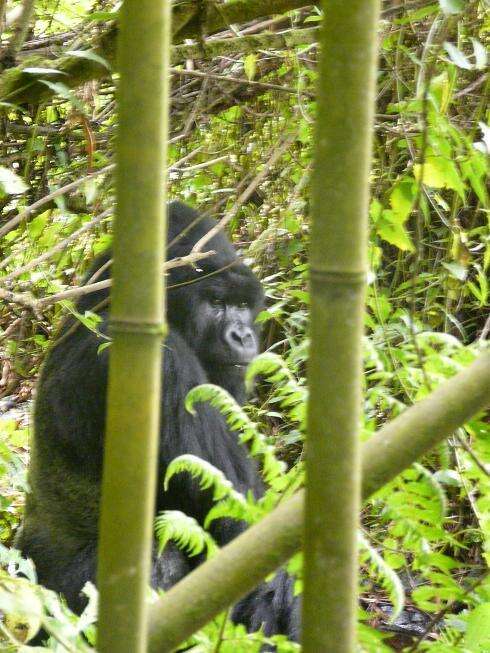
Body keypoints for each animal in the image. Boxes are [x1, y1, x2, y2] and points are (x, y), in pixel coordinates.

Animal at [18, 201, 298, 640]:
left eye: (241, 305)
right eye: (215, 302)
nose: (243, 336)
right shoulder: (165, 362)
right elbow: (243, 533)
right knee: (158, 559)